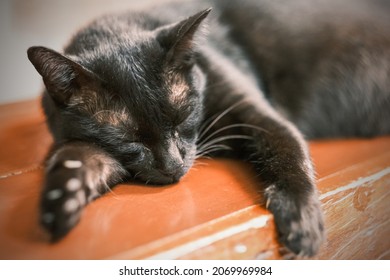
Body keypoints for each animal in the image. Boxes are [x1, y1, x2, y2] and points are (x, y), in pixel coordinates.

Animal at [27, 0, 390, 258]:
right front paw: (60, 205)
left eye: (183, 116)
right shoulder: (87, 146)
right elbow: (77, 159)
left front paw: (301, 220)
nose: (173, 166)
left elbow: (288, 149)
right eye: (128, 138)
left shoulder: (256, 114)